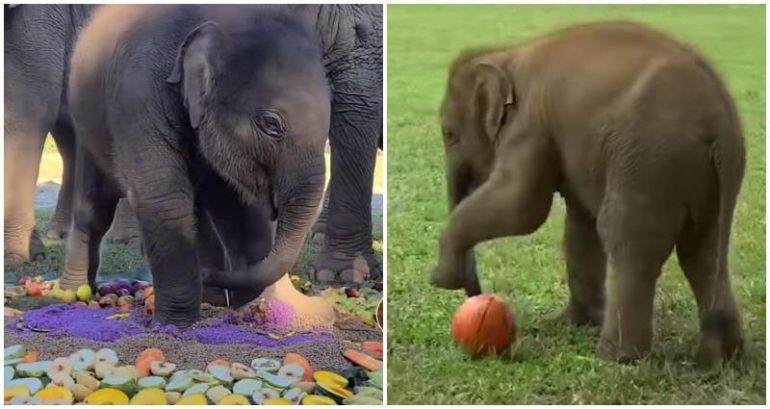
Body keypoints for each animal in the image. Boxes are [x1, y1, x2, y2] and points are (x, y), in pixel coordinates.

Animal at [59, 4, 333, 327]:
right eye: (271, 124)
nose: (208, 276)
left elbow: (238, 206)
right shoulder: (137, 93)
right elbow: (163, 198)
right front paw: (173, 325)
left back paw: (209, 297)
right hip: (88, 127)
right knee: (95, 209)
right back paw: (75, 292)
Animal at [430, 21, 745, 365]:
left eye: (449, 134)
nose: (478, 297)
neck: (506, 54)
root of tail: (719, 124)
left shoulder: (529, 125)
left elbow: (523, 206)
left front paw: (438, 279)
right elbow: (579, 224)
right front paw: (572, 324)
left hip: (649, 160)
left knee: (626, 237)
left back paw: (615, 358)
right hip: (700, 176)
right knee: (702, 250)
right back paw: (719, 358)